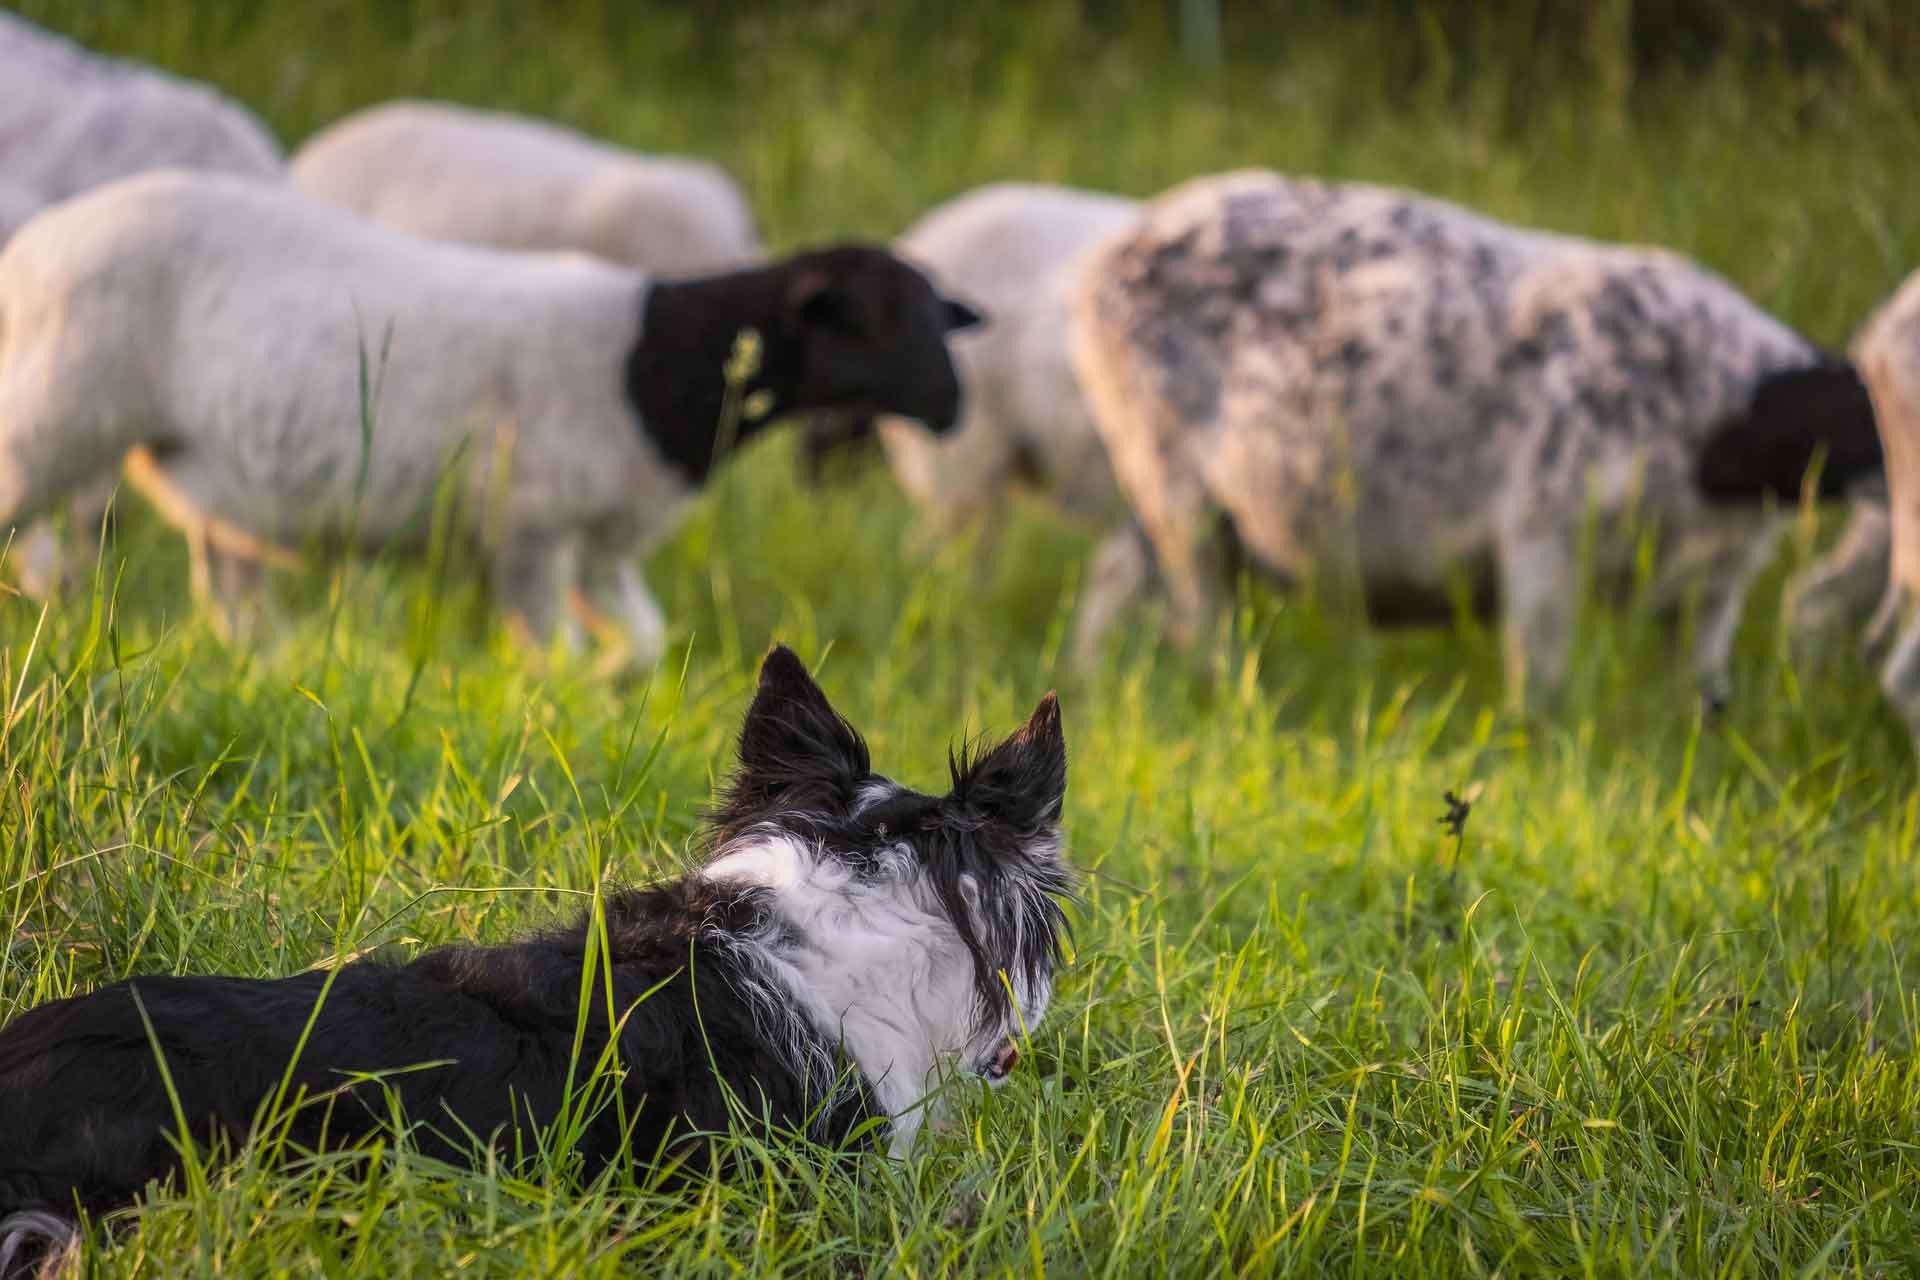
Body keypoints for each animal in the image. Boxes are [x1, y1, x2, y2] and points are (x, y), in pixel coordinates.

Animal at [0, 169, 983, 660]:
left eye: (938, 316)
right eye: (869, 319)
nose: (953, 408)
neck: (660, 367)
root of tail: (36, 243)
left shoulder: (602, 543)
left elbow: (642, 644)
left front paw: (610, 697)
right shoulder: (531, 531)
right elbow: (553, 653)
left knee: (231, 601)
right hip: (52, 414)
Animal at [1067, 167, 1873, 710]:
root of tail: (1110, 252)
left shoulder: (1713, 589)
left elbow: (1704, 689)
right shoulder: (1545, 529)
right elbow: (1542, 681)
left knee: (1116, 579)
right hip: (1170, 481)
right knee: (1198, 617)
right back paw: (1231, 696)